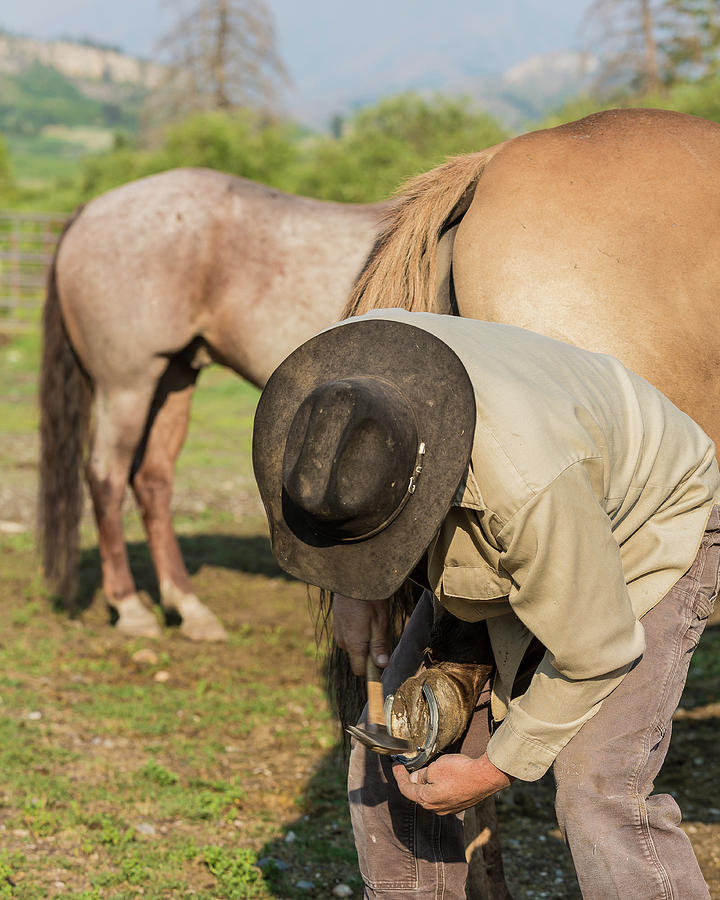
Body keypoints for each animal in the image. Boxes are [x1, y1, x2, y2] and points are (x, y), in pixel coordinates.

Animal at [39, 169, 388, 644]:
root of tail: (89, 210)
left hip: (174, 378)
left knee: (151, 480)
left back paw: (189, 608)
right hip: (126, 385)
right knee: (105, 476)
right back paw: (131, 608)